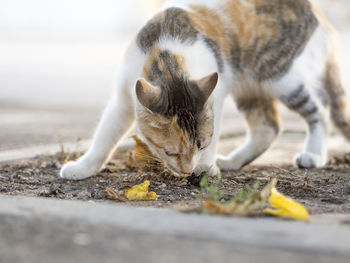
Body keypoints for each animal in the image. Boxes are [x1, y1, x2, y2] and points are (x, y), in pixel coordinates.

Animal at [59, 0, 348, 180]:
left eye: (201, 145)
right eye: (170, 152)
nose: (188, 170)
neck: (166, 54)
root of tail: (318, 15)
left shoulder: (215, 94)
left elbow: (216, 129)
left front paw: (206, 166)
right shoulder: (123, 97)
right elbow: (105, 135)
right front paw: (83, 167)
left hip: (283, 75)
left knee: (319, 111)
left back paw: (314, 154)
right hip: (250, 87)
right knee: (267, 127)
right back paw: (232, 161)